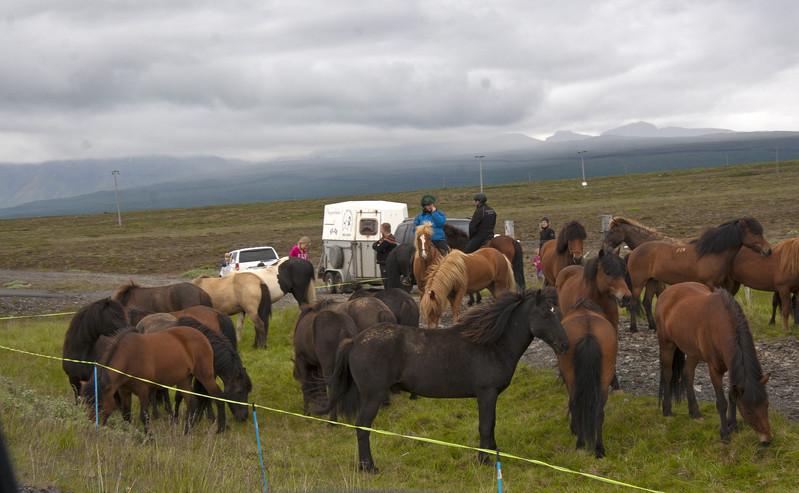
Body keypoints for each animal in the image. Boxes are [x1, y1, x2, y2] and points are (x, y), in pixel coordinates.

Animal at [83, 326, 227, 434]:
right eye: (87, 404)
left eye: (99, 405)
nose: (92, 427)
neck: (129, 358)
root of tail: (202, 336)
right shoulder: (124, 391)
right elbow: (126, 415)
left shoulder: (143, 390)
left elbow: (144, 416)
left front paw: (149, 437)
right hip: (184, 380)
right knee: (192, 402)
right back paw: (187, 432)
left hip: (205, 375)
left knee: (218, 396)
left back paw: (220, 429)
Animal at [324, 288, 568, 472]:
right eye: (546, 315)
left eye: (558, 313)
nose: (565, 345)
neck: (493, 345)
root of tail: (354, 341)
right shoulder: (486, 394)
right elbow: (485, 427)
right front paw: (485, 461)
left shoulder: (492, 396)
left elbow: (492, 425)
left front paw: (493, 454)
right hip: (372, 397)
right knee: (362, 428)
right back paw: (369, 467)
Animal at [556, 298, 620, 460]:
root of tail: (588, 334)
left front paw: (573, 429)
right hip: (603, 380)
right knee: (598, 413)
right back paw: (599, 450)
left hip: (573, 380)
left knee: (576, 407)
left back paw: (580, 444)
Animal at [628, 218, 772, 330]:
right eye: (755, 232)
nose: (769, 250)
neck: (712, 253)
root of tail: (634, 252)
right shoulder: (708, 283)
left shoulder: (718, 284)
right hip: (638, 283)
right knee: (633, 303)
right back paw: (633, 328)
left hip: (651, 281)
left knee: (646, 302)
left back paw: (653, 326)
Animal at [656, 280, 776, 446]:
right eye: (748, 411)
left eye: (767, 405)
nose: (767, 439)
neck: (722, 325)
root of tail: (667, 292)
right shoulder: (714, 370)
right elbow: (722, 402)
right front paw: (725, 434)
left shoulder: (733, 368)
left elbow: (732, 396)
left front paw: (733, 426)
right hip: (667, 344)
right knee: (668, 374)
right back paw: (667, 411)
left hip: (693, 353)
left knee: (688, 375)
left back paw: (694, 412)